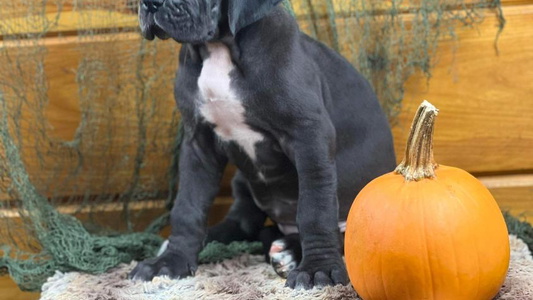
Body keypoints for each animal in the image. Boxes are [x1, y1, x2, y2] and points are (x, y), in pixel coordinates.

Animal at [130, 0, 394, 290]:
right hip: (244, 184)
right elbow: (188, 207)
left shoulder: (309, 134)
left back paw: (290, 251)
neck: (220, 50)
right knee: (244, 223)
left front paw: (318, 269)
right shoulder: (198, 142)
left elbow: (315, 208)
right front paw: (170, 262)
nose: (150, 4)